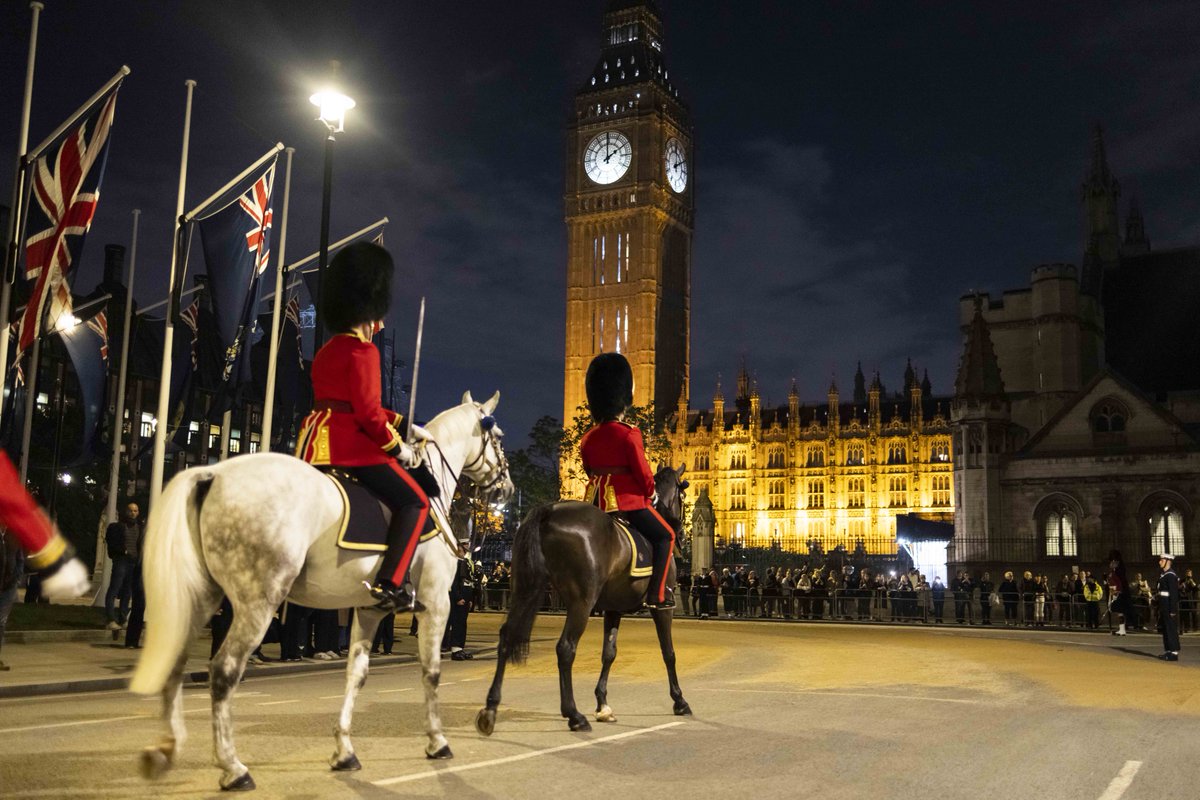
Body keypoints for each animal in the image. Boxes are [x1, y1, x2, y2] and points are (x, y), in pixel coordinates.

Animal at [130, 391, 511, 791]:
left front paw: (344, 750)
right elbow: (431, 671)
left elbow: (356, 674)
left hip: (201, 596)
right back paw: (233, 767)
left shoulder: (370, 608)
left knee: (176, 661)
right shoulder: (436, 602)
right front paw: (437, 740)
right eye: (498, 437)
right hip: (257, 602)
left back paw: (166, 749)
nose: (507, 488)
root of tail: (213, 472)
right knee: (224, 670)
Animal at [472, 465, 691, 734]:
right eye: (683, 495)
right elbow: (668, 652)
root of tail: (548, 510)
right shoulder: (662, 606)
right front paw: (680, 700)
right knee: (565, 647)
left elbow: (609, 653)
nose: (681, 535)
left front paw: (602, 703)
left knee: (507, 637)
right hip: (582, 601)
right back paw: (574, 714)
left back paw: (490, 708)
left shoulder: (613, 608)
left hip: (525, 589)